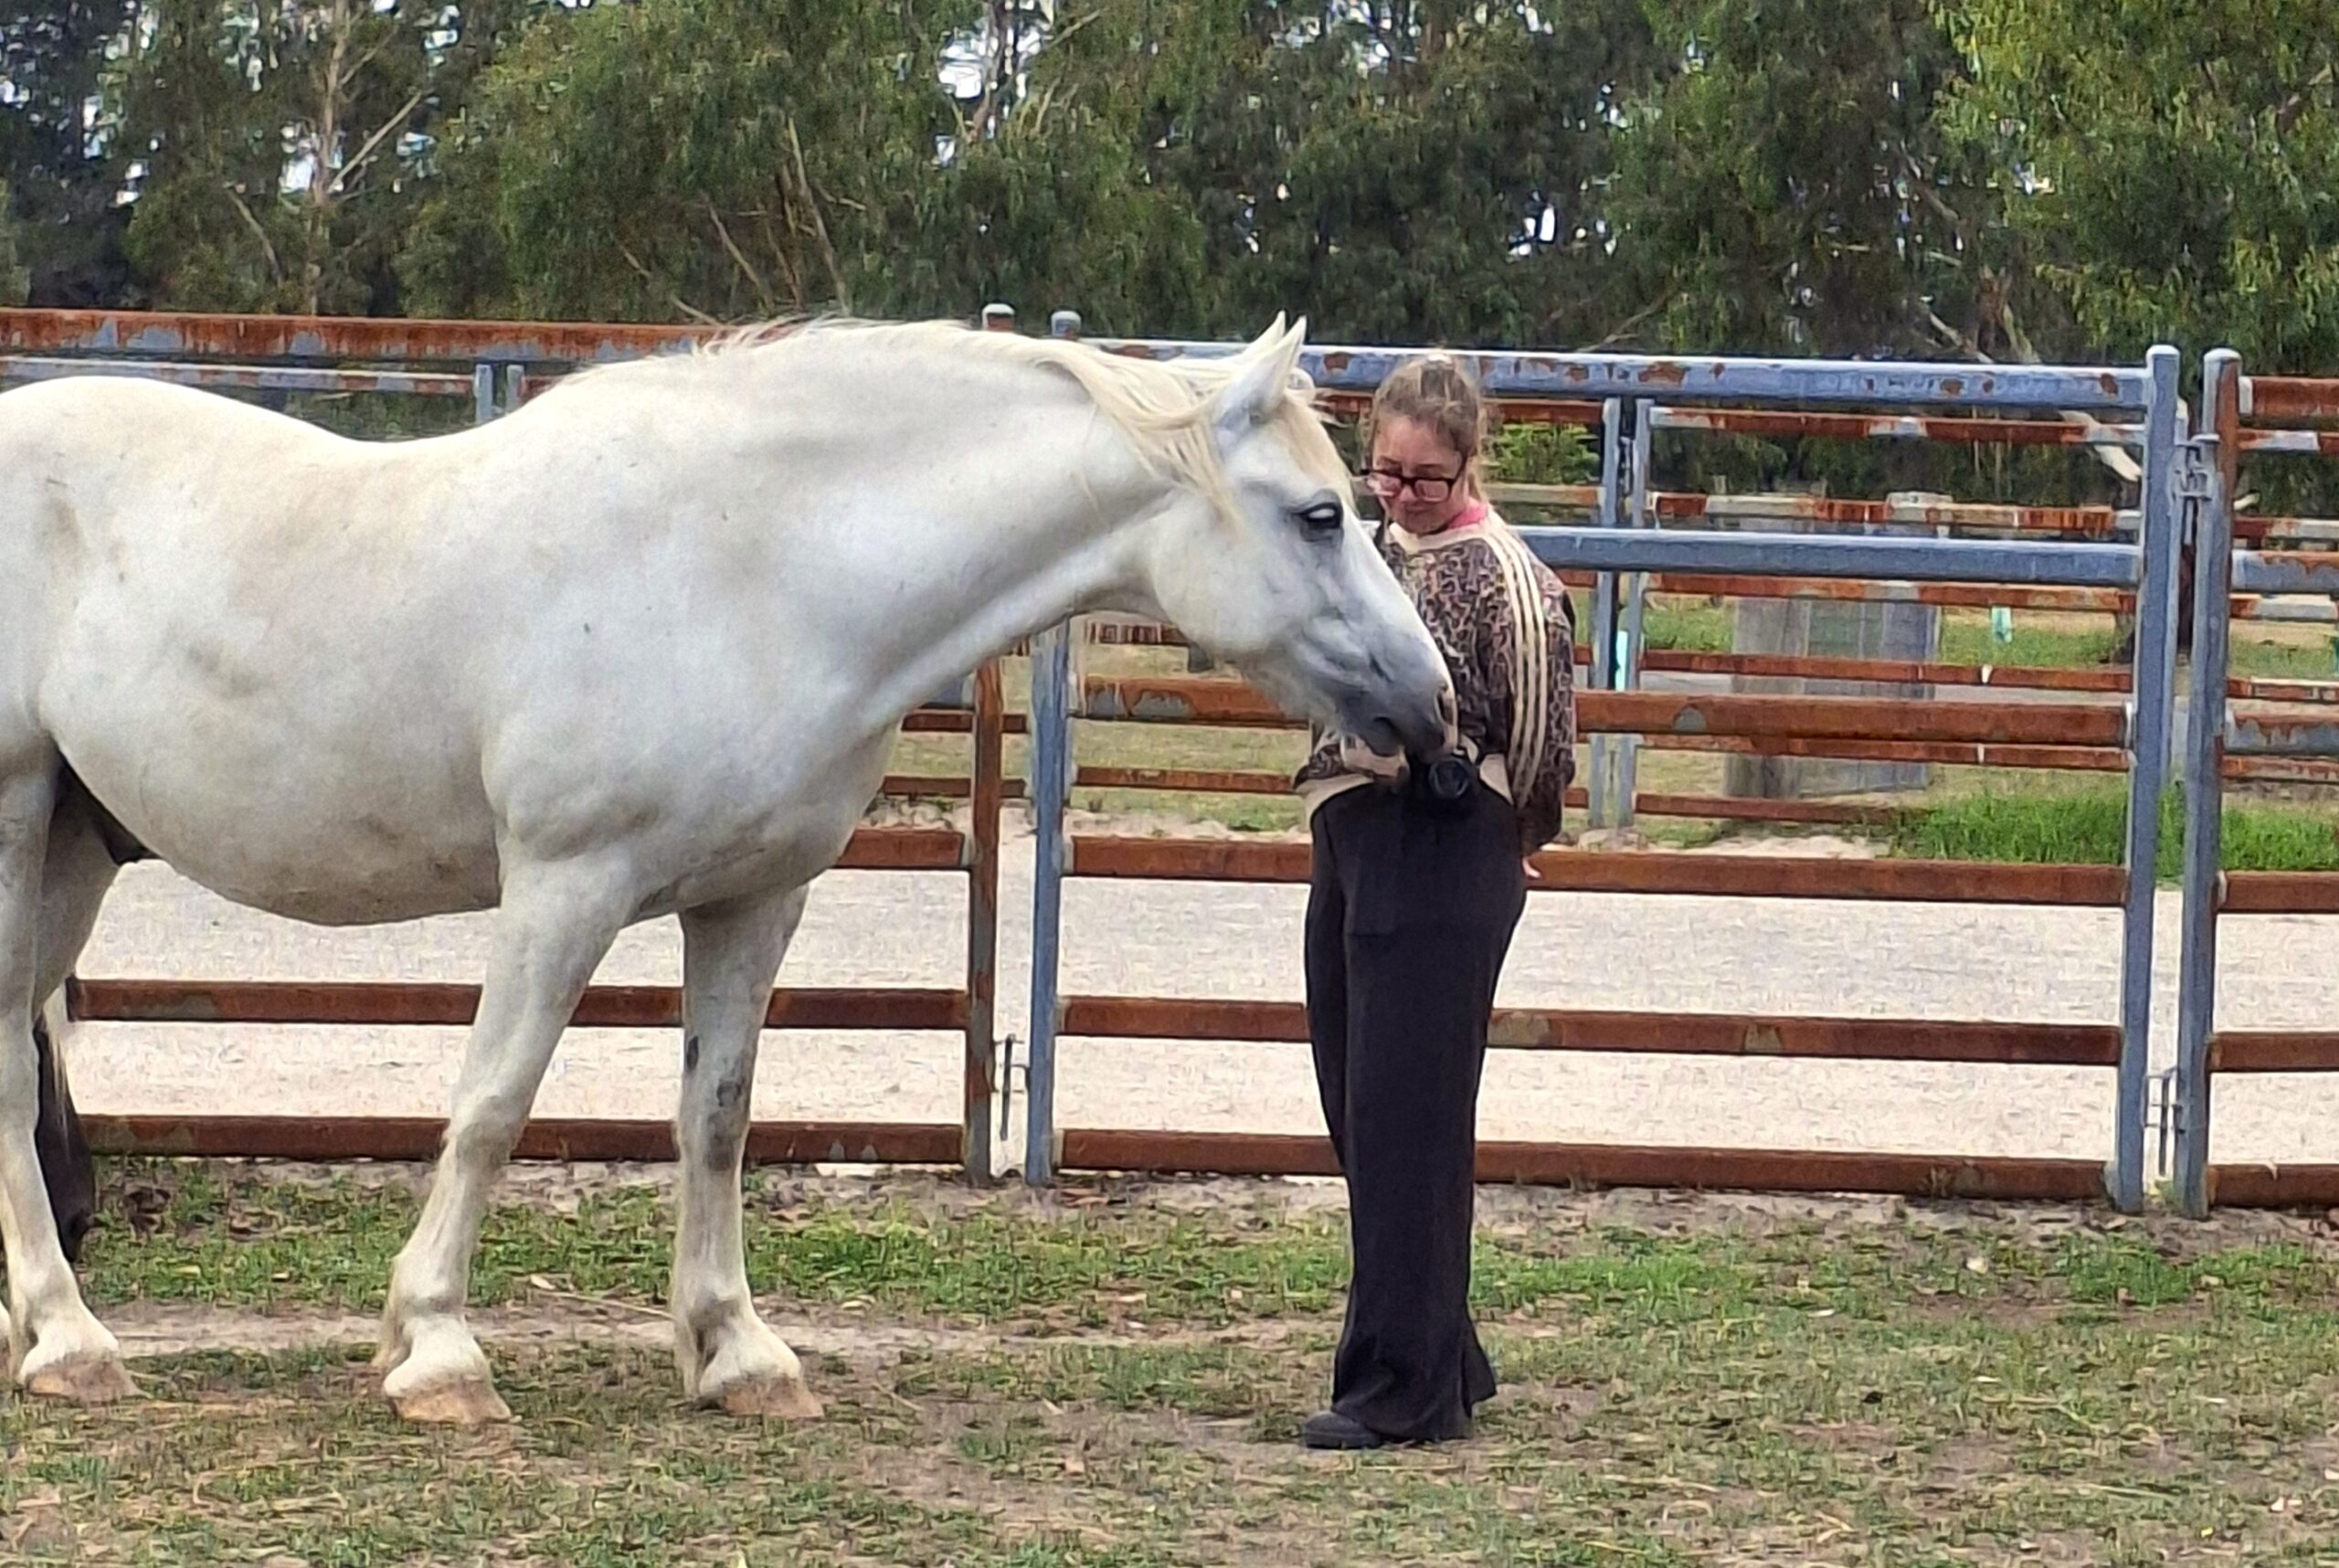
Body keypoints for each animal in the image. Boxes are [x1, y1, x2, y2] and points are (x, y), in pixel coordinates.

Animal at [0, 314, 1454, 1425]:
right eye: (1321, 513)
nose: (1432, 703)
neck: (752, 565)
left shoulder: (756, 900)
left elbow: (717, 1113)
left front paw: (737, 1355)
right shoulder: (563, 888)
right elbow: (493, 1105)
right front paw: (439, 1352)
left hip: (73, 854)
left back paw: (42, 1328)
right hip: (18, 830)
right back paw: (72, 1342)